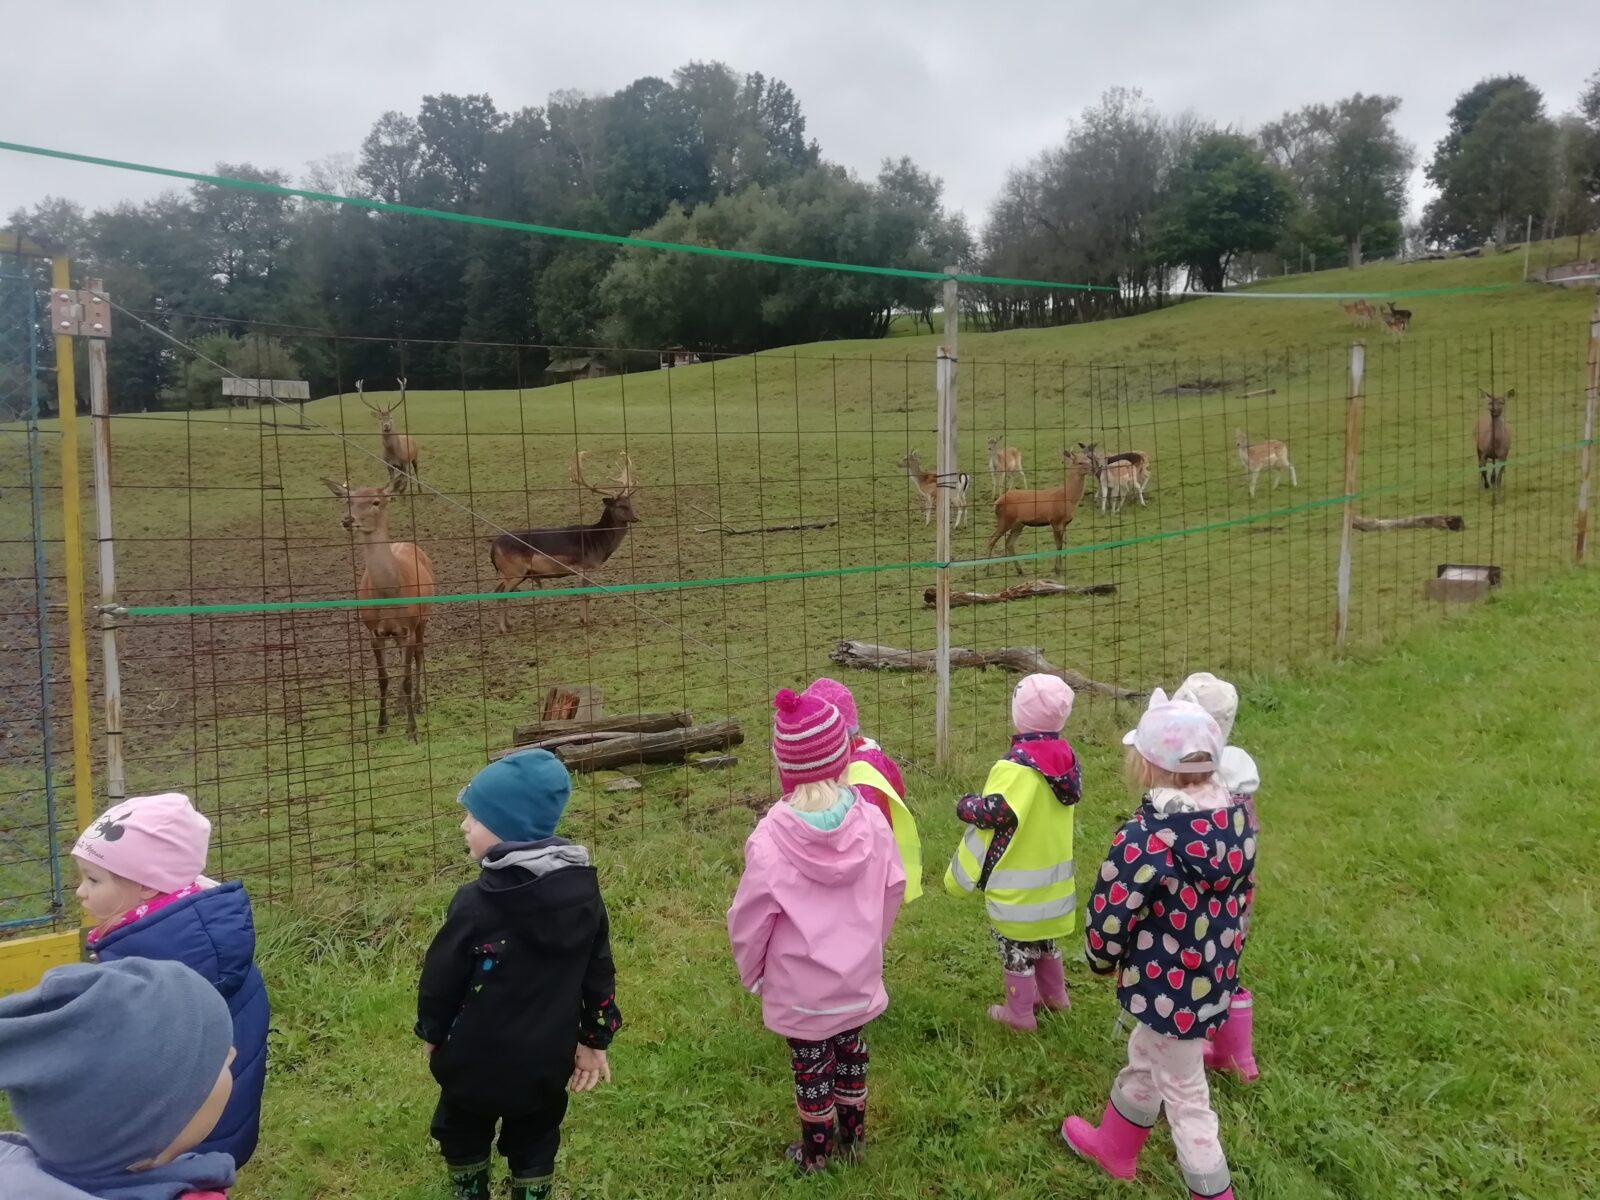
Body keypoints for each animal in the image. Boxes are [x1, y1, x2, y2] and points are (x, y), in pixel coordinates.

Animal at [321, 478, 435, 741]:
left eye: (375, 501)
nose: (347, 519)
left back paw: (417, 702)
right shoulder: (373, 630)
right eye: (348, 500)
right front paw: (382, 725)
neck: (389, 595)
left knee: (419, 654)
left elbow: (405, 676)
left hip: (423, 618)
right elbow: (383, 677)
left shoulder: (409, 626)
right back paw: (399, 705)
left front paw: (412, 730)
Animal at [487, 451, 640, 633]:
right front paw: (585, 621)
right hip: (514, 571)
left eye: (630, 503)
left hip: (515, 573)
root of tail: (493, 547)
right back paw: (503, 628)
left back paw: (508, 625)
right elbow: (585, 594)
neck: (598, 542)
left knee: (500, 591)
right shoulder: (584, 567)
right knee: (500, 594)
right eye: (620, 506)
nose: (636, 518)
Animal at [985, 445, 1095, 574]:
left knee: (1009, 543)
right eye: (1080, 462)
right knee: (991, 540)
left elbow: (1061, 544)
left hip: (1018, 524)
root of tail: (997, 502)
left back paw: (1020, 570)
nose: (1094, 468)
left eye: (1089, 460)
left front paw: (1059, 567)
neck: (1066, 497)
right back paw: (987, 570)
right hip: (1005, 519)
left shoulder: (1064, 523)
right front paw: (1057, 569)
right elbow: (1058, 545)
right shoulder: (1055, 520)